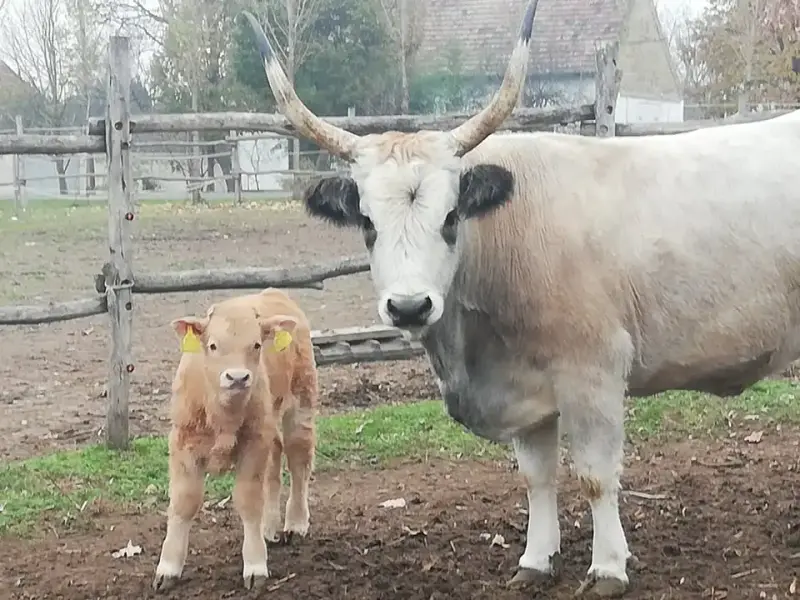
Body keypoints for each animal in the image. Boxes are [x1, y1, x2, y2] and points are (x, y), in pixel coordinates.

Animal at [153, 290, 318, 592]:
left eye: (256, 345)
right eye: (213, 345)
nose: (238, 377)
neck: (222, 415)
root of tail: (274, 291)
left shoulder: (252, 446)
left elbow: (248, 500)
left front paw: (255, 566)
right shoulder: (183, 444)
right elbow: (184, 502)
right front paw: (168, 569)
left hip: (301, 401)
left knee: (299, 460)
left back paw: (296, 523)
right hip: (269, 423)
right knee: (275, 458)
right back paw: (269, 527)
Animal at [242, 2, 800, 596]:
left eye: (451, 216)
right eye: (367, 222)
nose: (411, 307)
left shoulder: (594, 373)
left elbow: (596, 476)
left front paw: (608, 567)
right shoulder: (525, 389)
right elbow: (537, 477)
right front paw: (535, 559)